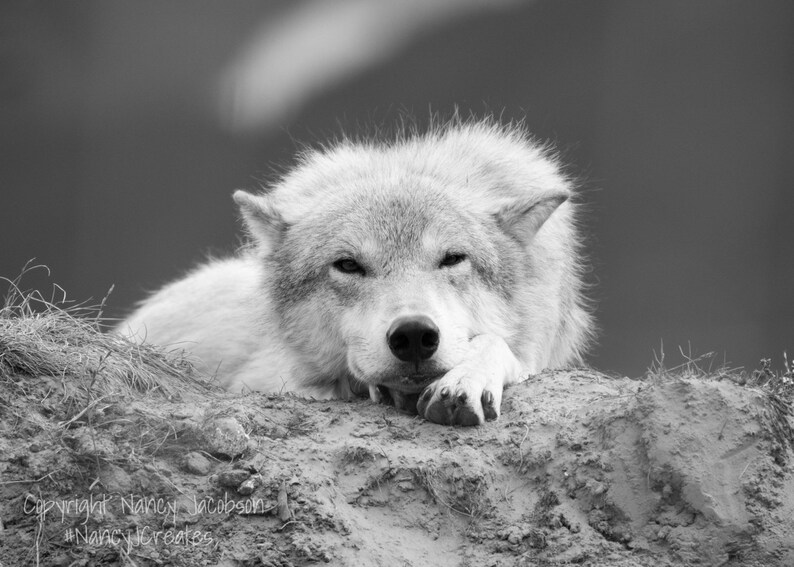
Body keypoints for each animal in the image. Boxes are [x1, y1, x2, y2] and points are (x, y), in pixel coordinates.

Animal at [118, 119, 594, 426]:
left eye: (452, 258)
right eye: (349, 265)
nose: (414, 335)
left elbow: (495, 344)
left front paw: (466, 380)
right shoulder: (265, 378)